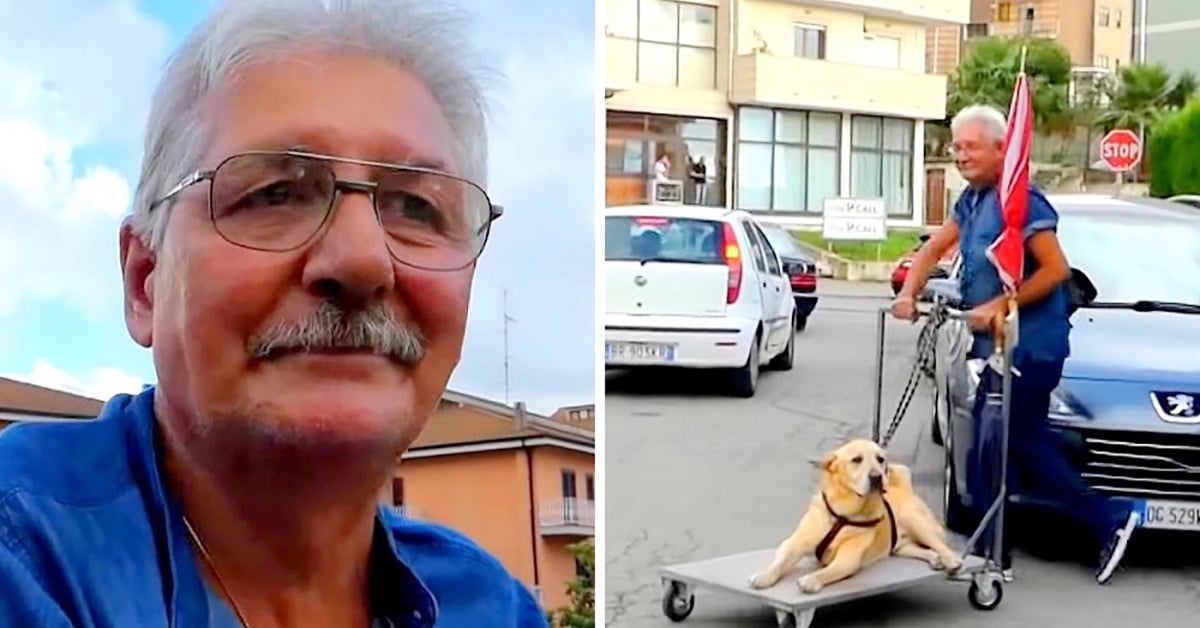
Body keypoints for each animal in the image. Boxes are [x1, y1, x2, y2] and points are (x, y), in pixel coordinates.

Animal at [744, 437, 960, 595]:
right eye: (857, 460)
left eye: (880, 459)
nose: (877, 477)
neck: (843, 514)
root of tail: (904, 488)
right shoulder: (794, 543)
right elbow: (781, 562)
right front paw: (764, 576)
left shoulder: (848, 559)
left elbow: (828, 571)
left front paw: (811, 579)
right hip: (900, 546)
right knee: (919, 548)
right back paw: (935, 558)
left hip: (916, 522)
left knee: (939, 543)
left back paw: (951, 559)